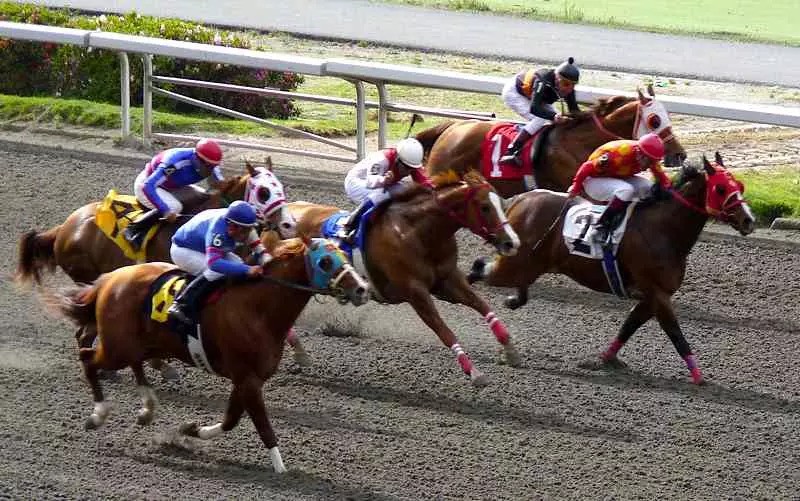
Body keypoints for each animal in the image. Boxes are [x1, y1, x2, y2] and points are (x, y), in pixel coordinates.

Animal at [51, 237, 370, 472]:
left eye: (344, 254)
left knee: (134, 363)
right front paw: (282, 469)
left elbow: (231, 420)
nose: (362, 289)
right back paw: (98, 415)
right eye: (325, 261)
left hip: (138, 344)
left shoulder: (246, 379)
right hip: (118, 347)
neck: (259, 309)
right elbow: (262, 426)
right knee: (88, 358)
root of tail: (109, 279)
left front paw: (190, 430)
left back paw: (147, 408)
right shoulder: (247, 378)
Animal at [290, 170, 520, 384]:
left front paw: (510, 350)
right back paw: (300, 353)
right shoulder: (415, 292)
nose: (512, 242)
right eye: (485, 207)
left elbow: (483, 306)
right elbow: (444, 331)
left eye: (501, 204)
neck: (418, 232)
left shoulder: (447, 282)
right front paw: (473, 371)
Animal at [466, 152, 752, 382]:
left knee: (508, 279)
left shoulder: (652, 295)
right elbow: (675, 333)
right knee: (477, 270)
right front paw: (698, 375)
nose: (748, 220)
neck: (663, 229)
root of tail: (520, 199)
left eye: (739, 185)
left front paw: (606, 359)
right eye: (720, 189)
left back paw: (514, 299)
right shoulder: (658, 293)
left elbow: (630, 324)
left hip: (528, 264)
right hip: (513, 265)